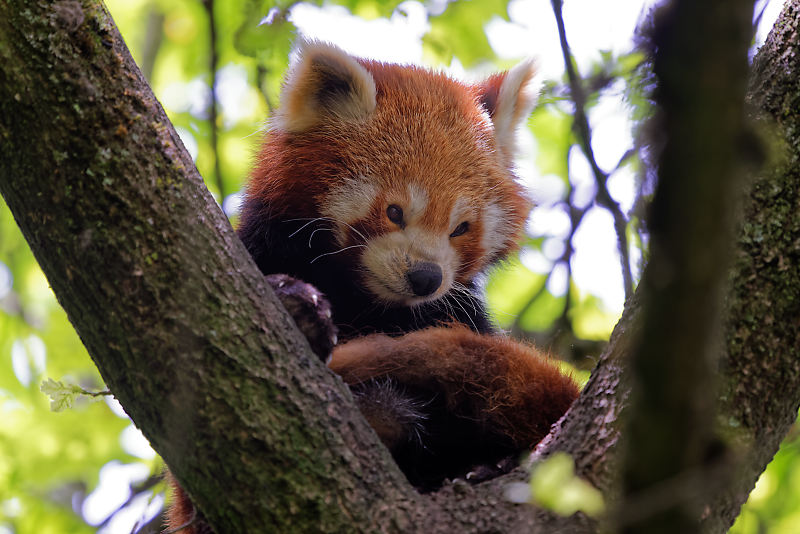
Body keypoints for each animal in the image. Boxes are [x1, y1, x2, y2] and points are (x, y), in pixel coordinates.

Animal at [166, 39, 580, 532]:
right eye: (394, 212)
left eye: (461, 228)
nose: (426, 278)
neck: (366, 299)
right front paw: (298, 306)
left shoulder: (458, 313)